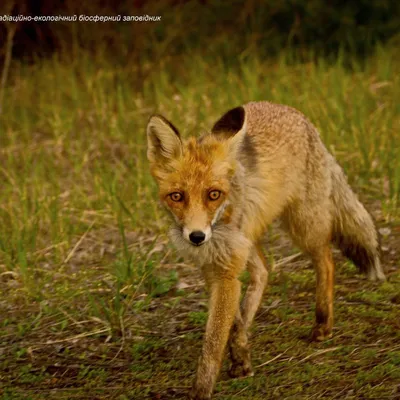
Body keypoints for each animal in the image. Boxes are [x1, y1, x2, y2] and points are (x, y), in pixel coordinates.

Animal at [146, 101, 384, 398]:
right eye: (177, 196)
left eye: (214, 195)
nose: (197, 237)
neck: (222, 220)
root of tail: (297, 114)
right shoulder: (215, 268)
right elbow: (232, 320)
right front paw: (240, 356)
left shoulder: (226, 270)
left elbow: (212, 344)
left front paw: (202, 389)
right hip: (252, 237)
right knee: (264, 272)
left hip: (303, 224)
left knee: (327, 261)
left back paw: (322, 323)